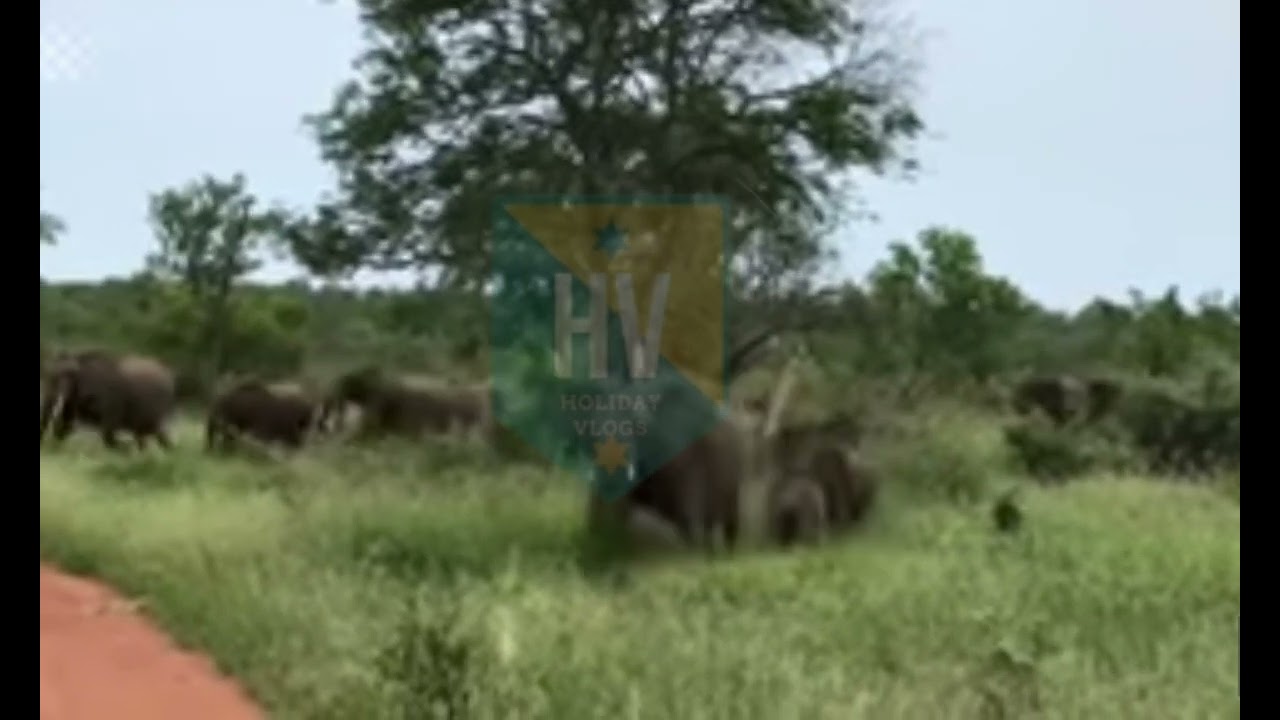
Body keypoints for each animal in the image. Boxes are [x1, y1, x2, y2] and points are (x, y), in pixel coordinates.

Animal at [39, 349, 176, 451]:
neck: (78, 360)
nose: (45, 446)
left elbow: (108, 429)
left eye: (56, 380)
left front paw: (124, 448)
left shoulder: (112, 398)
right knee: (148, 434)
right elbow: (67, 422)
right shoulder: (75, 398)